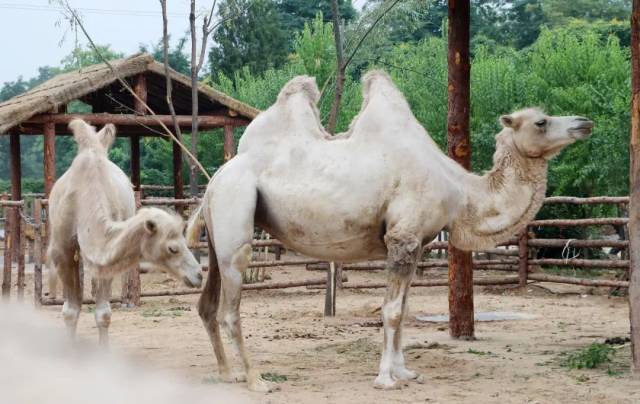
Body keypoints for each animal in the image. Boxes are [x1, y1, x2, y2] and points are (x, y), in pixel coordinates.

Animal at [186, 70, 596, 392]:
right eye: (541, 122)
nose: (584, 123)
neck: (460, 191)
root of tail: (216, 178)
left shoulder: (417, 243)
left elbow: (406, 307)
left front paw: (405, 371)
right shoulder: (403, 237)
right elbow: (393, 310)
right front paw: (385, 378)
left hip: (219, 232)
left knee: (207, 304)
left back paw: (227, 374)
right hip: (236, 212)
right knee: (230, 308)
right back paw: (257, 380)